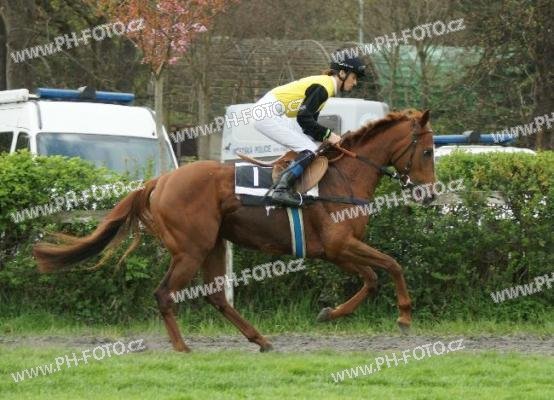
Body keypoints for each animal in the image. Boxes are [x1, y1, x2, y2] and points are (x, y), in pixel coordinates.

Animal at [33, 109, 435, 352]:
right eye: (429, 151)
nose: (429, 195)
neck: (345, 177)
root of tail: (159, 180)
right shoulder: (339, 246)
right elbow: (388, 268)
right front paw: (402, 316)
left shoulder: (340, 249)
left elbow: (374, 276)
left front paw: (331, 313)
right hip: (191, 250)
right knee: (164, 294)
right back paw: (182, 348)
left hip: (212, 244)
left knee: (217, 296)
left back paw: (261, 339)